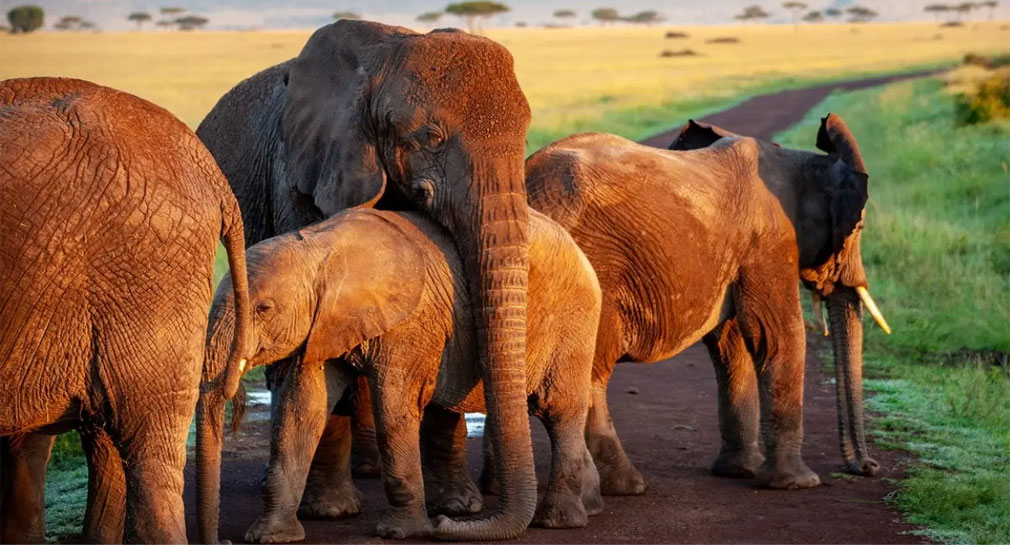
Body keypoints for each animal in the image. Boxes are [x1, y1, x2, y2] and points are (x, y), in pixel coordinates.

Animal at [195, 20, 538, 539]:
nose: (443, 524)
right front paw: (330, 511)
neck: (382, 63)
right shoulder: (301, 175)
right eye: (431, 136)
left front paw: (458, 508)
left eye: (526, 136)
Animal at [195, 208, 603, 542]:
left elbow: (393, 407)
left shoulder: (409, 323)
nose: (222, 541)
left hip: (574, 319)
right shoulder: (321, 325)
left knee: (559, 409)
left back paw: (557, 521)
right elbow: (301, 410)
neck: (319, 247)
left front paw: (399, 531)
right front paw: (270, 536)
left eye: (263, 308)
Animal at [518, 113, 889, 495]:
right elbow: (779, 335)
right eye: (859, 227)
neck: (801, 162)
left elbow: (731, 344)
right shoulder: (770, 242)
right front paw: (798, 484)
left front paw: (739, 471)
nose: (868, 468)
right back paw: (625, 485)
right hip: (594, 268)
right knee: (589, 371)